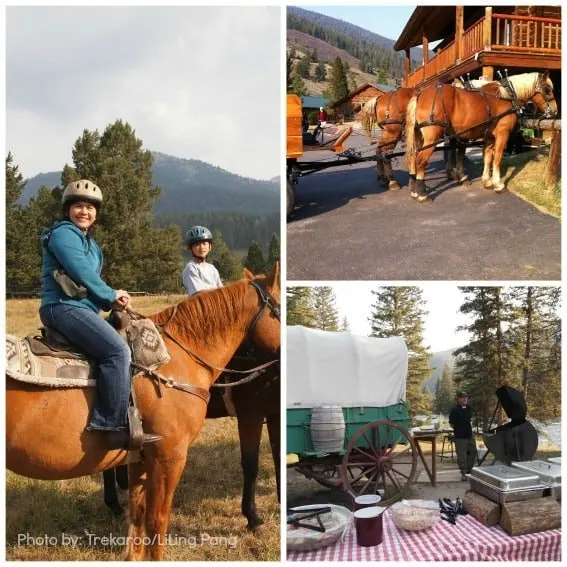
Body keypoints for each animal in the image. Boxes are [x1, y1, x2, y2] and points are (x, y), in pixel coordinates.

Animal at [6, 268, 282, 564]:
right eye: (280, 310)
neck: (179, 357)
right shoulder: (176, 452)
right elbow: (158, 520)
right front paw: (254, 518)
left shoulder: (141, 457)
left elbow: (139, 519)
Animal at [406, 71, 556, 203]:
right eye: (547, 89)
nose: (555, 110)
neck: (506, 95)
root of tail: (420, 94)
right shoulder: (502, 134)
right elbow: (497, 158)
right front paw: (498, 184)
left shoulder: (489, 136)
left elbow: (488, 157)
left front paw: (487, 181)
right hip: (432, 137)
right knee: (420, 161)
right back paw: (423, 194)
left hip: (419, 137)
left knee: (413, 158)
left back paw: (414, 190)